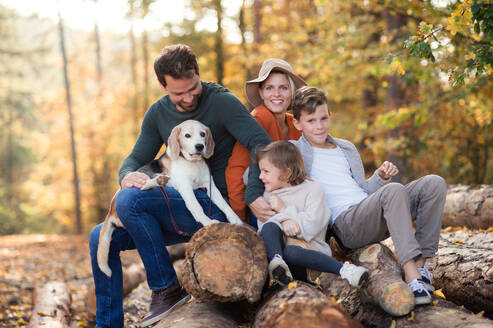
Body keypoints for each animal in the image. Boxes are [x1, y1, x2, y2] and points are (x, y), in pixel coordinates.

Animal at [96, 119, 242, 276]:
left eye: (203, 134)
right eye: (187, 135)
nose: (200, 146)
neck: (193, 163)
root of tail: (111, 209)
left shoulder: (210, 186)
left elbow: (224, 204)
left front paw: (235, 219)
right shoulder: (185, 187)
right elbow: (196, 206)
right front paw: (207, 221)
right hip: (143, 176)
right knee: (143, 186)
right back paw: (158, 181)